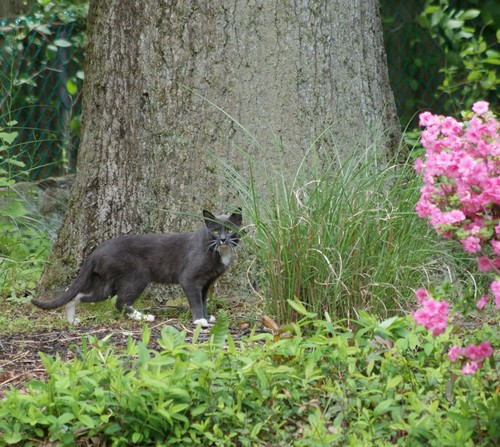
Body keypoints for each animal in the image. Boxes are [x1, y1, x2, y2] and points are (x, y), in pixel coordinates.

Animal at [31, 210, 242, 328]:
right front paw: (199, 321)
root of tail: (97, 251)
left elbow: (203, 300)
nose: (223, 239)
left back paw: (71, 320)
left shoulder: (206, 282)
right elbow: (196, 301)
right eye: (215, 230)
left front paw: (207, 317)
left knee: (80, 296)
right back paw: (144, 317)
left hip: (105, 284)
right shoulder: (190, 279)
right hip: (137, 275)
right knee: (120, 303)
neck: (217, 251)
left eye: (230, 230)